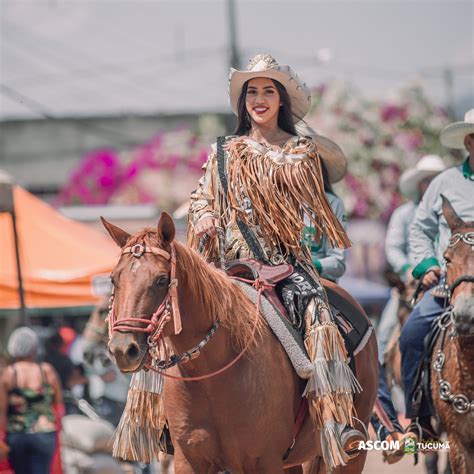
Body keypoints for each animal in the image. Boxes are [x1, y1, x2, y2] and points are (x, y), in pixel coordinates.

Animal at [103, 214, 378, 474]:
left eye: (161, 280)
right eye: (114, 279)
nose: (123, 349)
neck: (213, 375)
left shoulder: (264, 462)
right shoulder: (189, 461)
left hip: (346, 455)